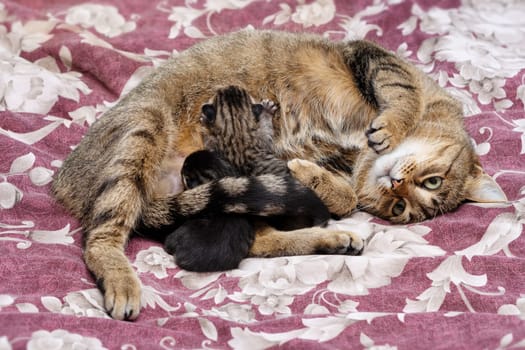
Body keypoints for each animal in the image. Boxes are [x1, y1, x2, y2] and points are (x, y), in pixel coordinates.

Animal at [51, 30, 506, 320]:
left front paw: (315, 177)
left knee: (259, 243)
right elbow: (402, 93)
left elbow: (343, 196)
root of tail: (64, 181)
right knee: (99, 240)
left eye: (400, 210)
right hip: (141, 135)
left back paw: (335, 240)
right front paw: (390, 127)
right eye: (432, 181)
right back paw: (122, 283)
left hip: (237, 196)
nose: (396, 187)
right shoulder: (373, 57)